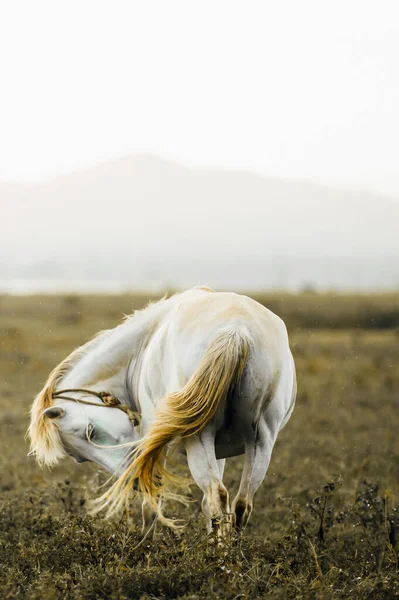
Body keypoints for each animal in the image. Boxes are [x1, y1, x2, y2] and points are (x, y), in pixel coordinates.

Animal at [28, 286, 296, 540]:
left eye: (90, 431)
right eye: (78, 458)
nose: (135, 480)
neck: (144, 345)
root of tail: (236, 330)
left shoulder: (155, 437)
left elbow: (153, 500)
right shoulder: (219, 450)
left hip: (199, 438)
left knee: (217, 497)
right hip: (260, 441)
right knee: (239, 504)